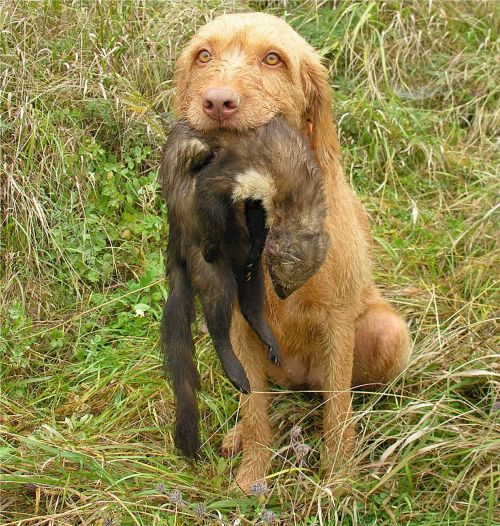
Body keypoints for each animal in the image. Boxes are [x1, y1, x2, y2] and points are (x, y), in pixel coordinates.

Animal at [168, 10, 410, 492]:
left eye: (273, 59)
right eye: (203, 55)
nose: (217, 102)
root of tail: (302, 381)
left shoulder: (337, 321)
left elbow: (338, 413)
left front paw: (339, 478)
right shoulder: (241, 326)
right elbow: (256, 412)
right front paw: (251, 479)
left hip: (386, 331)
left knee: (342, 398)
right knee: (262, 398)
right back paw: (239, 434)